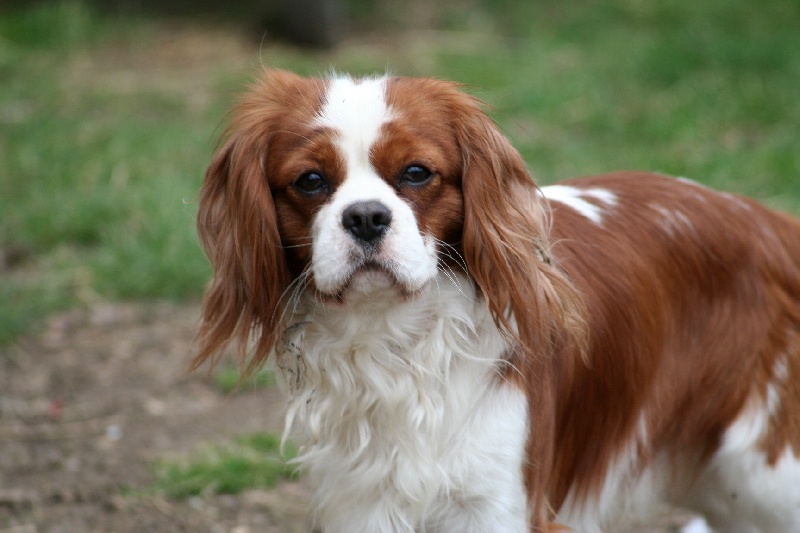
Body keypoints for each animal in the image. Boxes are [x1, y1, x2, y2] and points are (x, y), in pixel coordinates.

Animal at [192, 70, 800, 532]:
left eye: (417, 173)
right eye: (311, 181)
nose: (365, 216)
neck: (395, 345)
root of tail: (773, 222)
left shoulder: (496, 505)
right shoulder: (359, 502)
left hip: (767, 474)